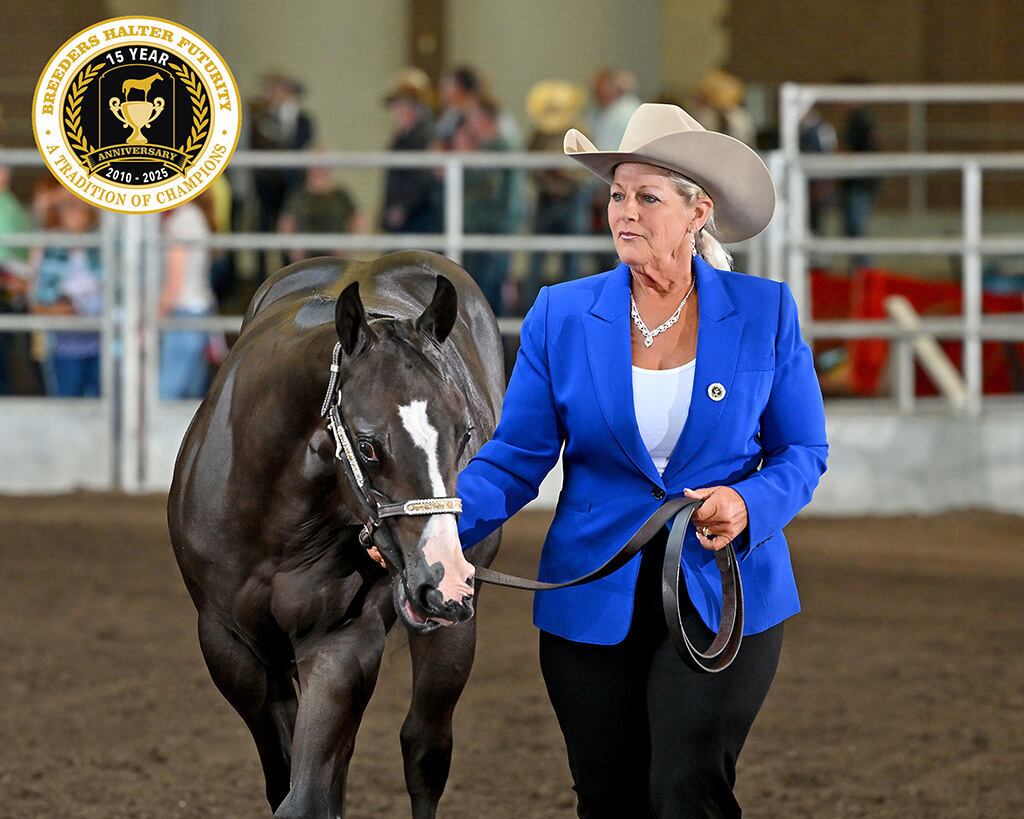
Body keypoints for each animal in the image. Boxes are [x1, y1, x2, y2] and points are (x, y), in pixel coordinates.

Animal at [168, 251, 505, 817]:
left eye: (464, 435)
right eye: (367, 446)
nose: (442, 577)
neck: (274, 520)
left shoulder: (341, 642)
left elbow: (306, 797)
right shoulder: (231, 648)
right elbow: (292, 785)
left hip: (453, 632)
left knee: (425, 749)